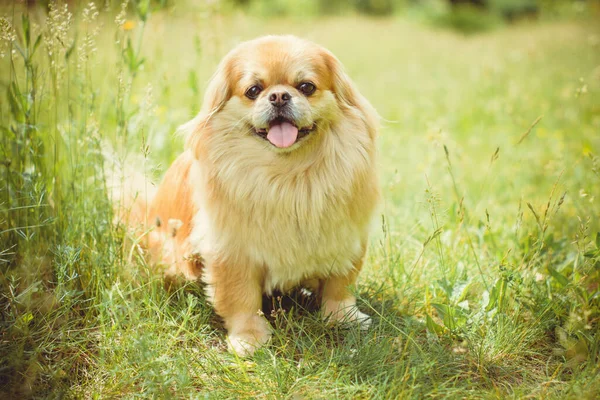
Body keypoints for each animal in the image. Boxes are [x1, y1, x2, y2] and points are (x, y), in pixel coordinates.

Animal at [122, 35, 380, 356]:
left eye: (306, 86)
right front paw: (249, 338)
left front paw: (342, 317)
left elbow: (340, 285)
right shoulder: (232, 252)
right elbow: (241, 298)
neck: (287, 176)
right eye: (254, 90)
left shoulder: (346, 239)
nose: (279, 96)